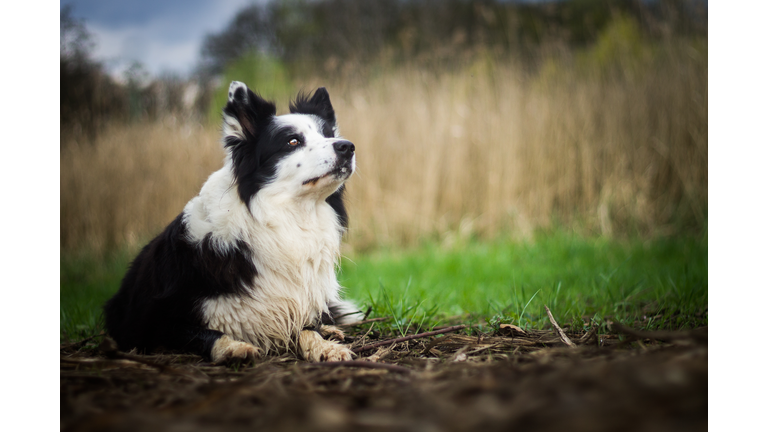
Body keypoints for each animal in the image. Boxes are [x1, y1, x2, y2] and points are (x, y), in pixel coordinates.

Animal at [104, 82, 364, 364]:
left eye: (329, 134)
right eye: (293, 141)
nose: (347, 146)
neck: (287, 220)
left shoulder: (297, 302)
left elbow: (307, 327)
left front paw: (325, 346)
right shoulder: (150, 321)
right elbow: (203, 333)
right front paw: (233, 348)